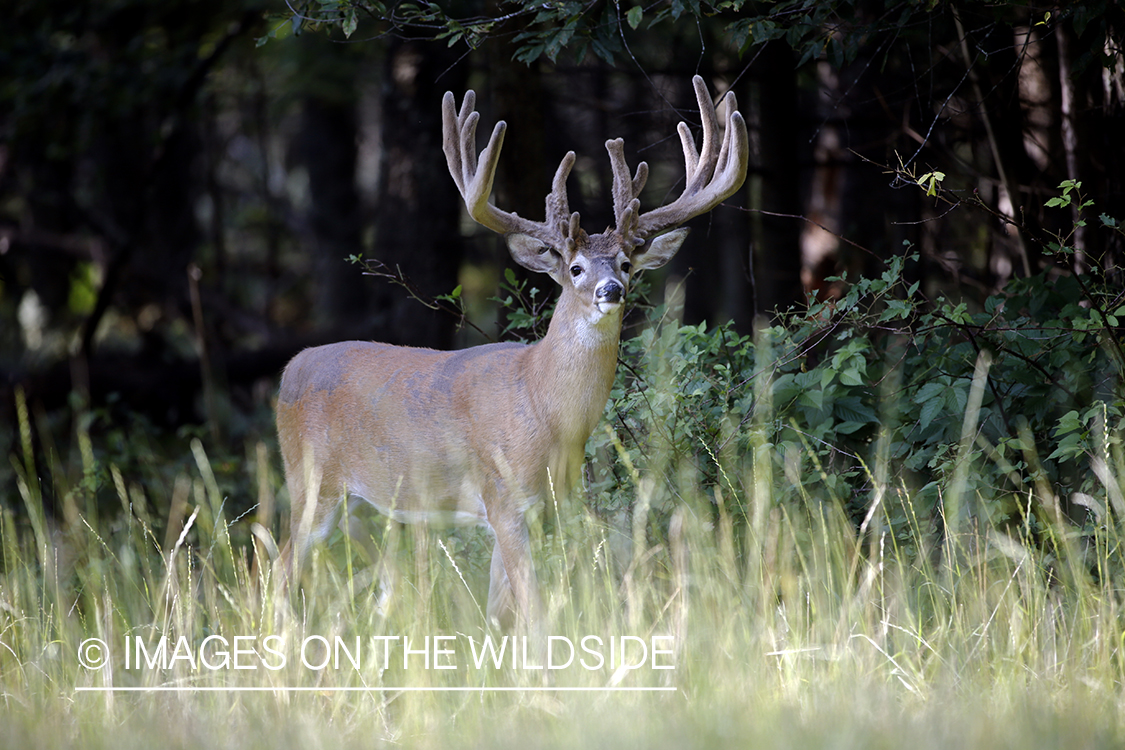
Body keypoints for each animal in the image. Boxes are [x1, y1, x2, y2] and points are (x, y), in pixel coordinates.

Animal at [272, 76, 747, 629]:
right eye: (576, 268)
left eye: (627, 263)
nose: (611, 289)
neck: (545, 407)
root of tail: (289, 369)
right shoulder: (503, 496)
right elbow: (535, 612)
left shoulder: (546, 503)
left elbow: (499, 613)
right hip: (310, 483)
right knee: (277, 570)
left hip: (367, 504)